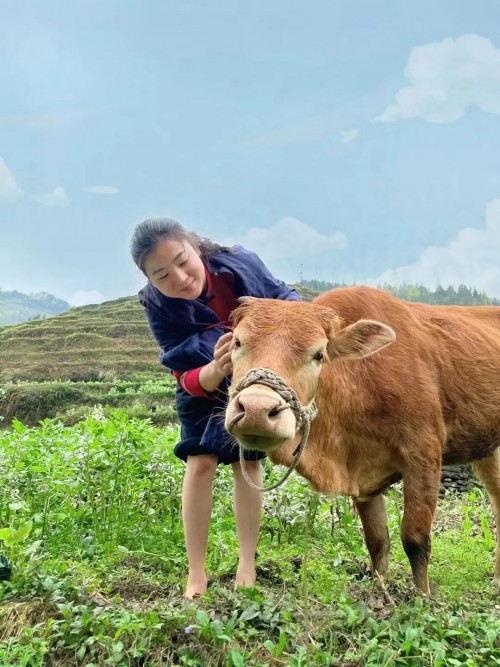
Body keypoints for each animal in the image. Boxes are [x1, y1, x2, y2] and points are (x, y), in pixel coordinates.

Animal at [226, 288, 500, 596]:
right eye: (237, 342)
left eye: (318, 354)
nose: (256, 409)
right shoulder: (362, 476)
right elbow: (377, 542)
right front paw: (380, 589)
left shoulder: (424, 453)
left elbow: (415, 538)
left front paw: (423, 597)